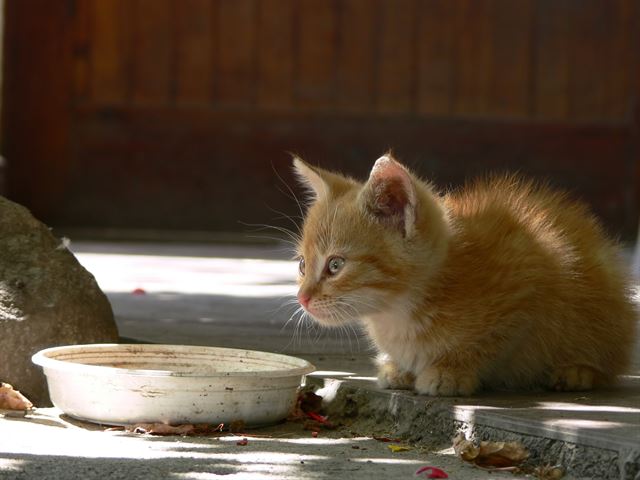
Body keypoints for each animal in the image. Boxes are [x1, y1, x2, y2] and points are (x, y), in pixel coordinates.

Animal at [292, 156, 636, 396]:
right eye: (302, 265)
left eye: (335, 265)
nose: (302, 298)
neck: (399, 311)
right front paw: (399, 367)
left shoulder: (528, 285)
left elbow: (490, 344)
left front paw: (451, 370)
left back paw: (577, 371)